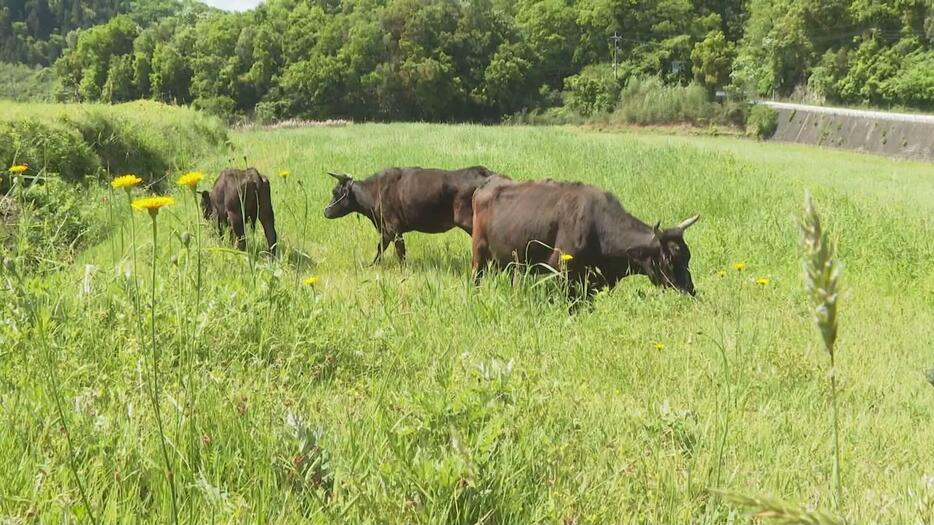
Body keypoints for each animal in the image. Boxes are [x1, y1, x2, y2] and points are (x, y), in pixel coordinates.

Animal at [326, 165, 508, 264]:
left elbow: (397, 251)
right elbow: (383, 248)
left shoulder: (392, 228)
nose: (325, 211)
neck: (375, 191)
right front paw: (373, 265)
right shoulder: (388, 230)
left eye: (335, 192)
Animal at [472, 178, 700, 294]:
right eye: (669, 259)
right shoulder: (563, 270)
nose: (689, 290)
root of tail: (485, 185)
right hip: (479, 252)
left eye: (688, 257)